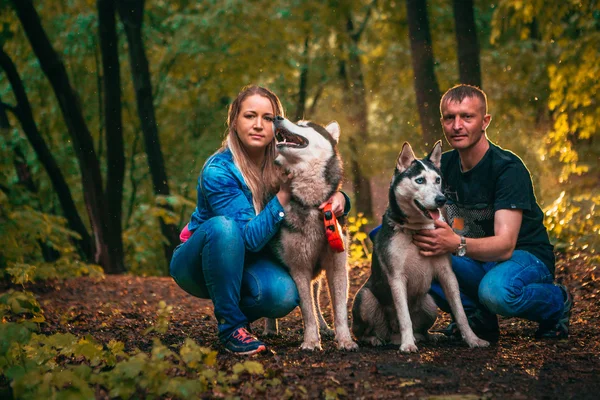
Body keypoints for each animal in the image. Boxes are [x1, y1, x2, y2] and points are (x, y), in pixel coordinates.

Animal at [270, 115, 358, 350]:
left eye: (305, 125)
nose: (276, 117)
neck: (312, 203)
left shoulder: (337, 266)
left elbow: (339, 311)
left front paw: (345, 340)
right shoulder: (299, 267)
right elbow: (307, 311)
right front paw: (310, 341)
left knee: (317, 300)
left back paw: (325, 328)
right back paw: (269, 328)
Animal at [352, 141, 488, 354]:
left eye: (438, 180)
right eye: (420, 180)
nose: (441, 199)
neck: (416, 230)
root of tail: (391, 335)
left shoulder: (447, 274)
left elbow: (460, 313)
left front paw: (473, 339)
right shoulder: (396, 278)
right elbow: (404, 317)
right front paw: (407, 344)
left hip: (430, 304)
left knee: (421, 330)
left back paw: (430, 336)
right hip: (365, 298)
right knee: (363, 332)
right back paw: (376, 339)